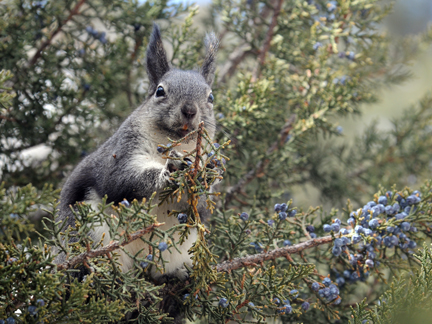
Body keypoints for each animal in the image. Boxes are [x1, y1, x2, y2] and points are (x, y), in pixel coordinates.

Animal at [56, 24, 219, 280]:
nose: (190, 110)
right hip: (88, 229)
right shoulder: (122, 152)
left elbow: (198, 206)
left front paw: (207, 176)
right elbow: (121, 181)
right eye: (160, 91)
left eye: (210, 97)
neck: (176, 144)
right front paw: (167, 173)